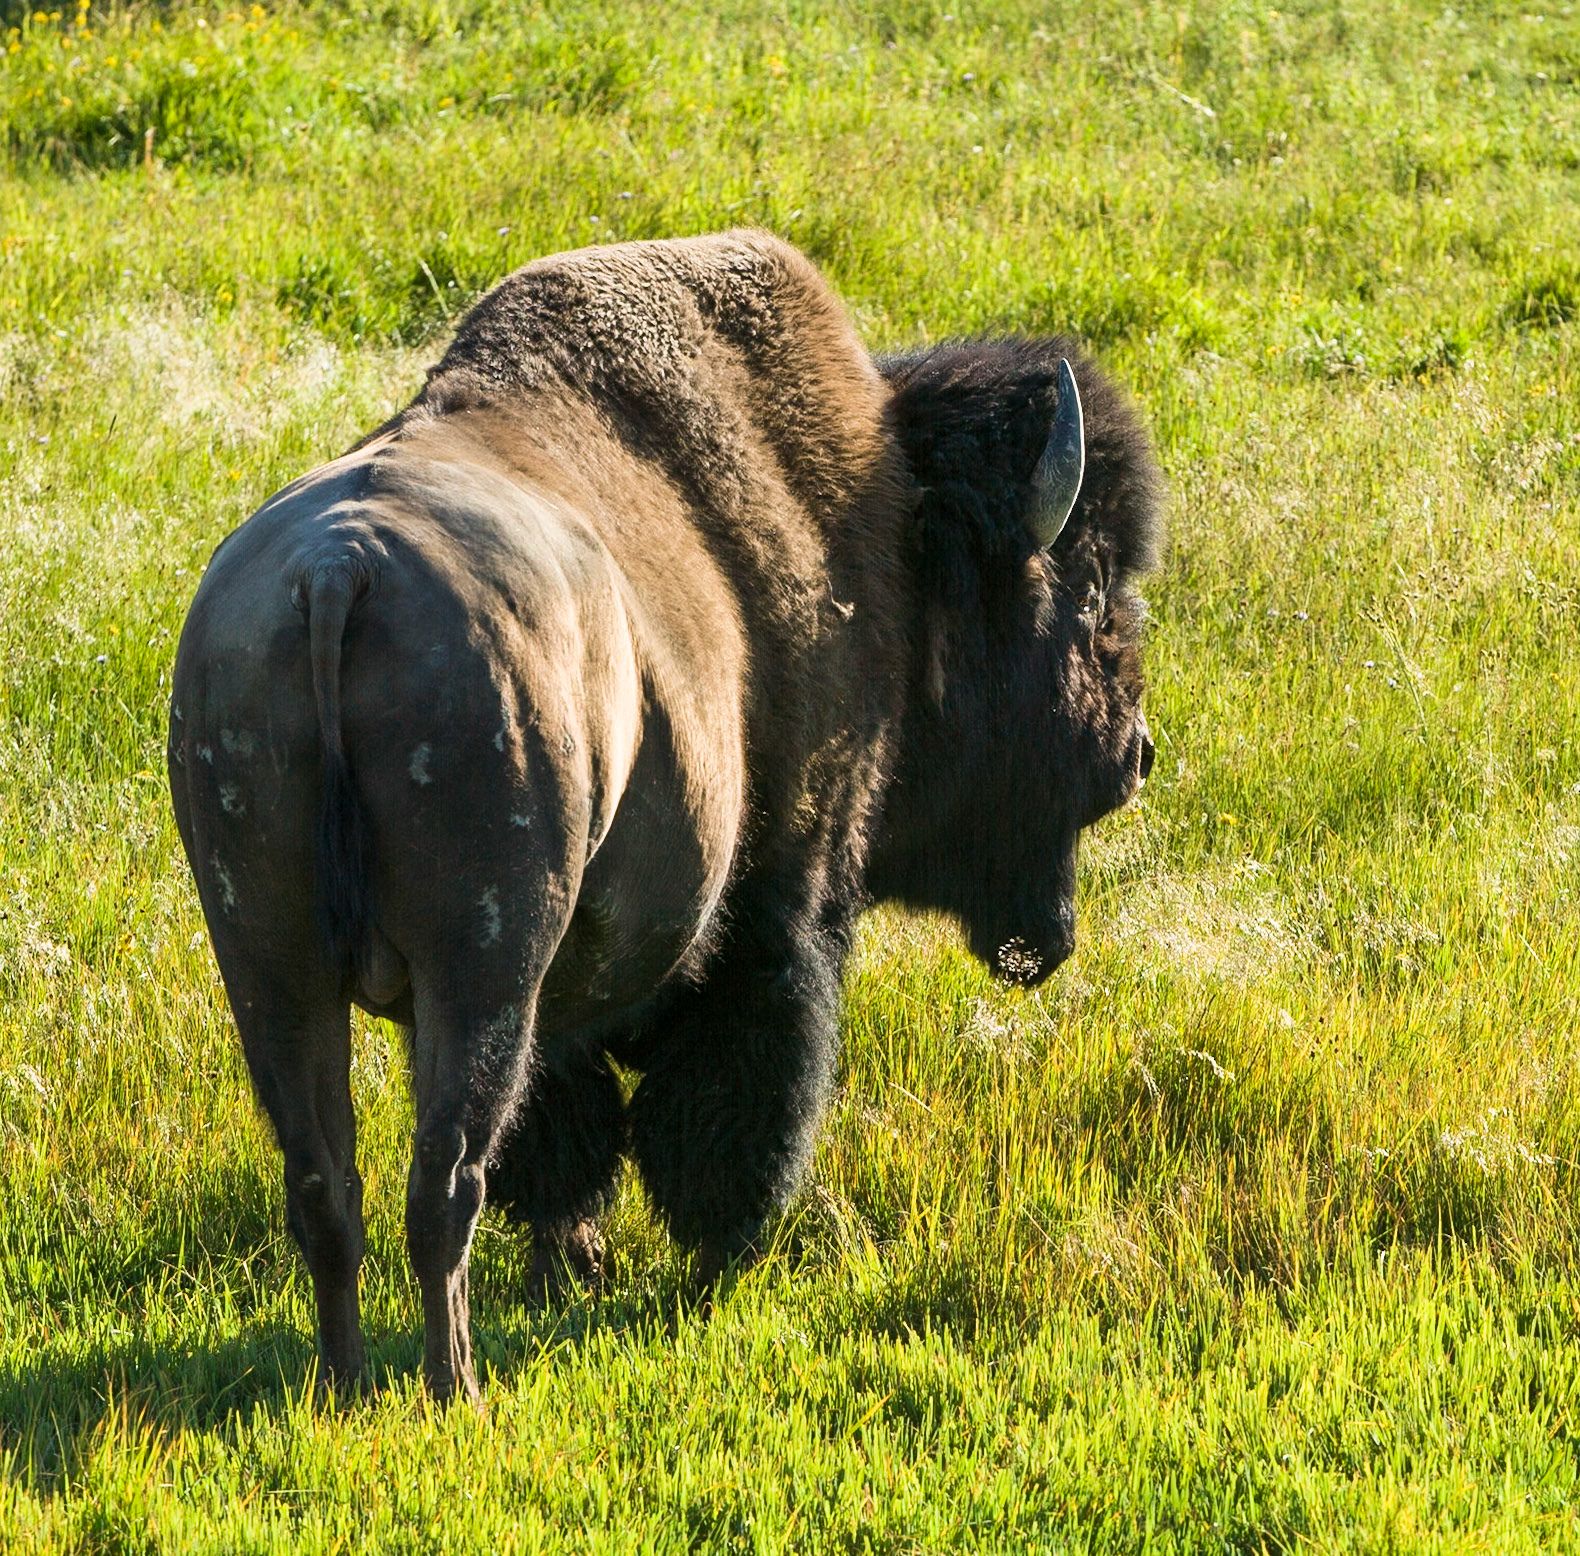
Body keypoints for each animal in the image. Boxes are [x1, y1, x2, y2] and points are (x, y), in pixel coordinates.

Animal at [168, 231, 1161, 1401]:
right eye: (1086, 592)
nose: (1135, 755)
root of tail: (337, 574)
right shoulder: (786, 902)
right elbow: (735, 1094)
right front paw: (713, 1261)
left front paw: (581, 1269)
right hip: (478, 969)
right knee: (447, 1178)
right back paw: (457, 1389)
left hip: (270, 963)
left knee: (330, 1182)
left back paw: (349, 1384)